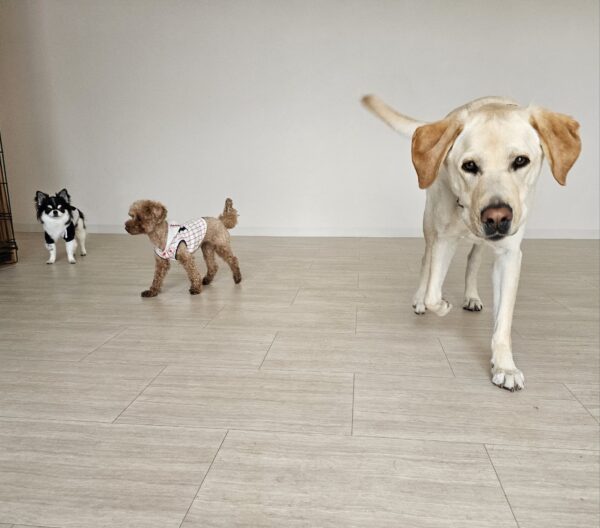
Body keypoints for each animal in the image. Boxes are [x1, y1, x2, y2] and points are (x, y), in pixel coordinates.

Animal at [362, 95, 581, 390]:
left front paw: (505, 366)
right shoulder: (444, 240)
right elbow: (433, 294)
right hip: (429, 224)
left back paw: (472, 296)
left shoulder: (509, 256)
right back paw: (419, 299)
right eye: (469, 166)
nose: (497, 217)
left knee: (473, 260)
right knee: (425, 261)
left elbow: (503, 321)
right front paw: (441, 304)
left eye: (520, 161)